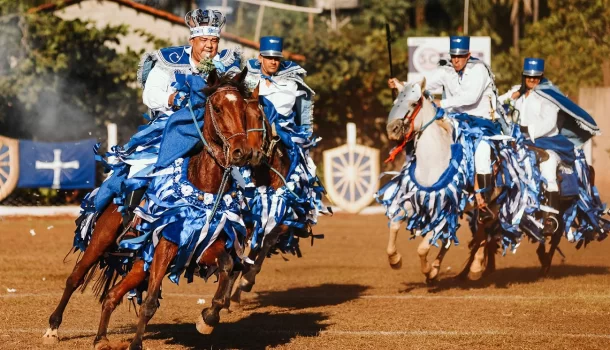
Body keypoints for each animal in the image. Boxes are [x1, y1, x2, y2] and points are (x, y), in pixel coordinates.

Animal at [42, 69, 252, 348]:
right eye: (217, 108)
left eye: (243, 109)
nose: (241, 152)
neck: (202, 187)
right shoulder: (166, 245)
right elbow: (150, 302)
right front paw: (136, 343)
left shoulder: (204, 247)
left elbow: (227, 265)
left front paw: (207, 318)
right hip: (101, 240)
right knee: (75, 277)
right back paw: (53, 328)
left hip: (140, 261)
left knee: (112, 295)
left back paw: (101, 339)